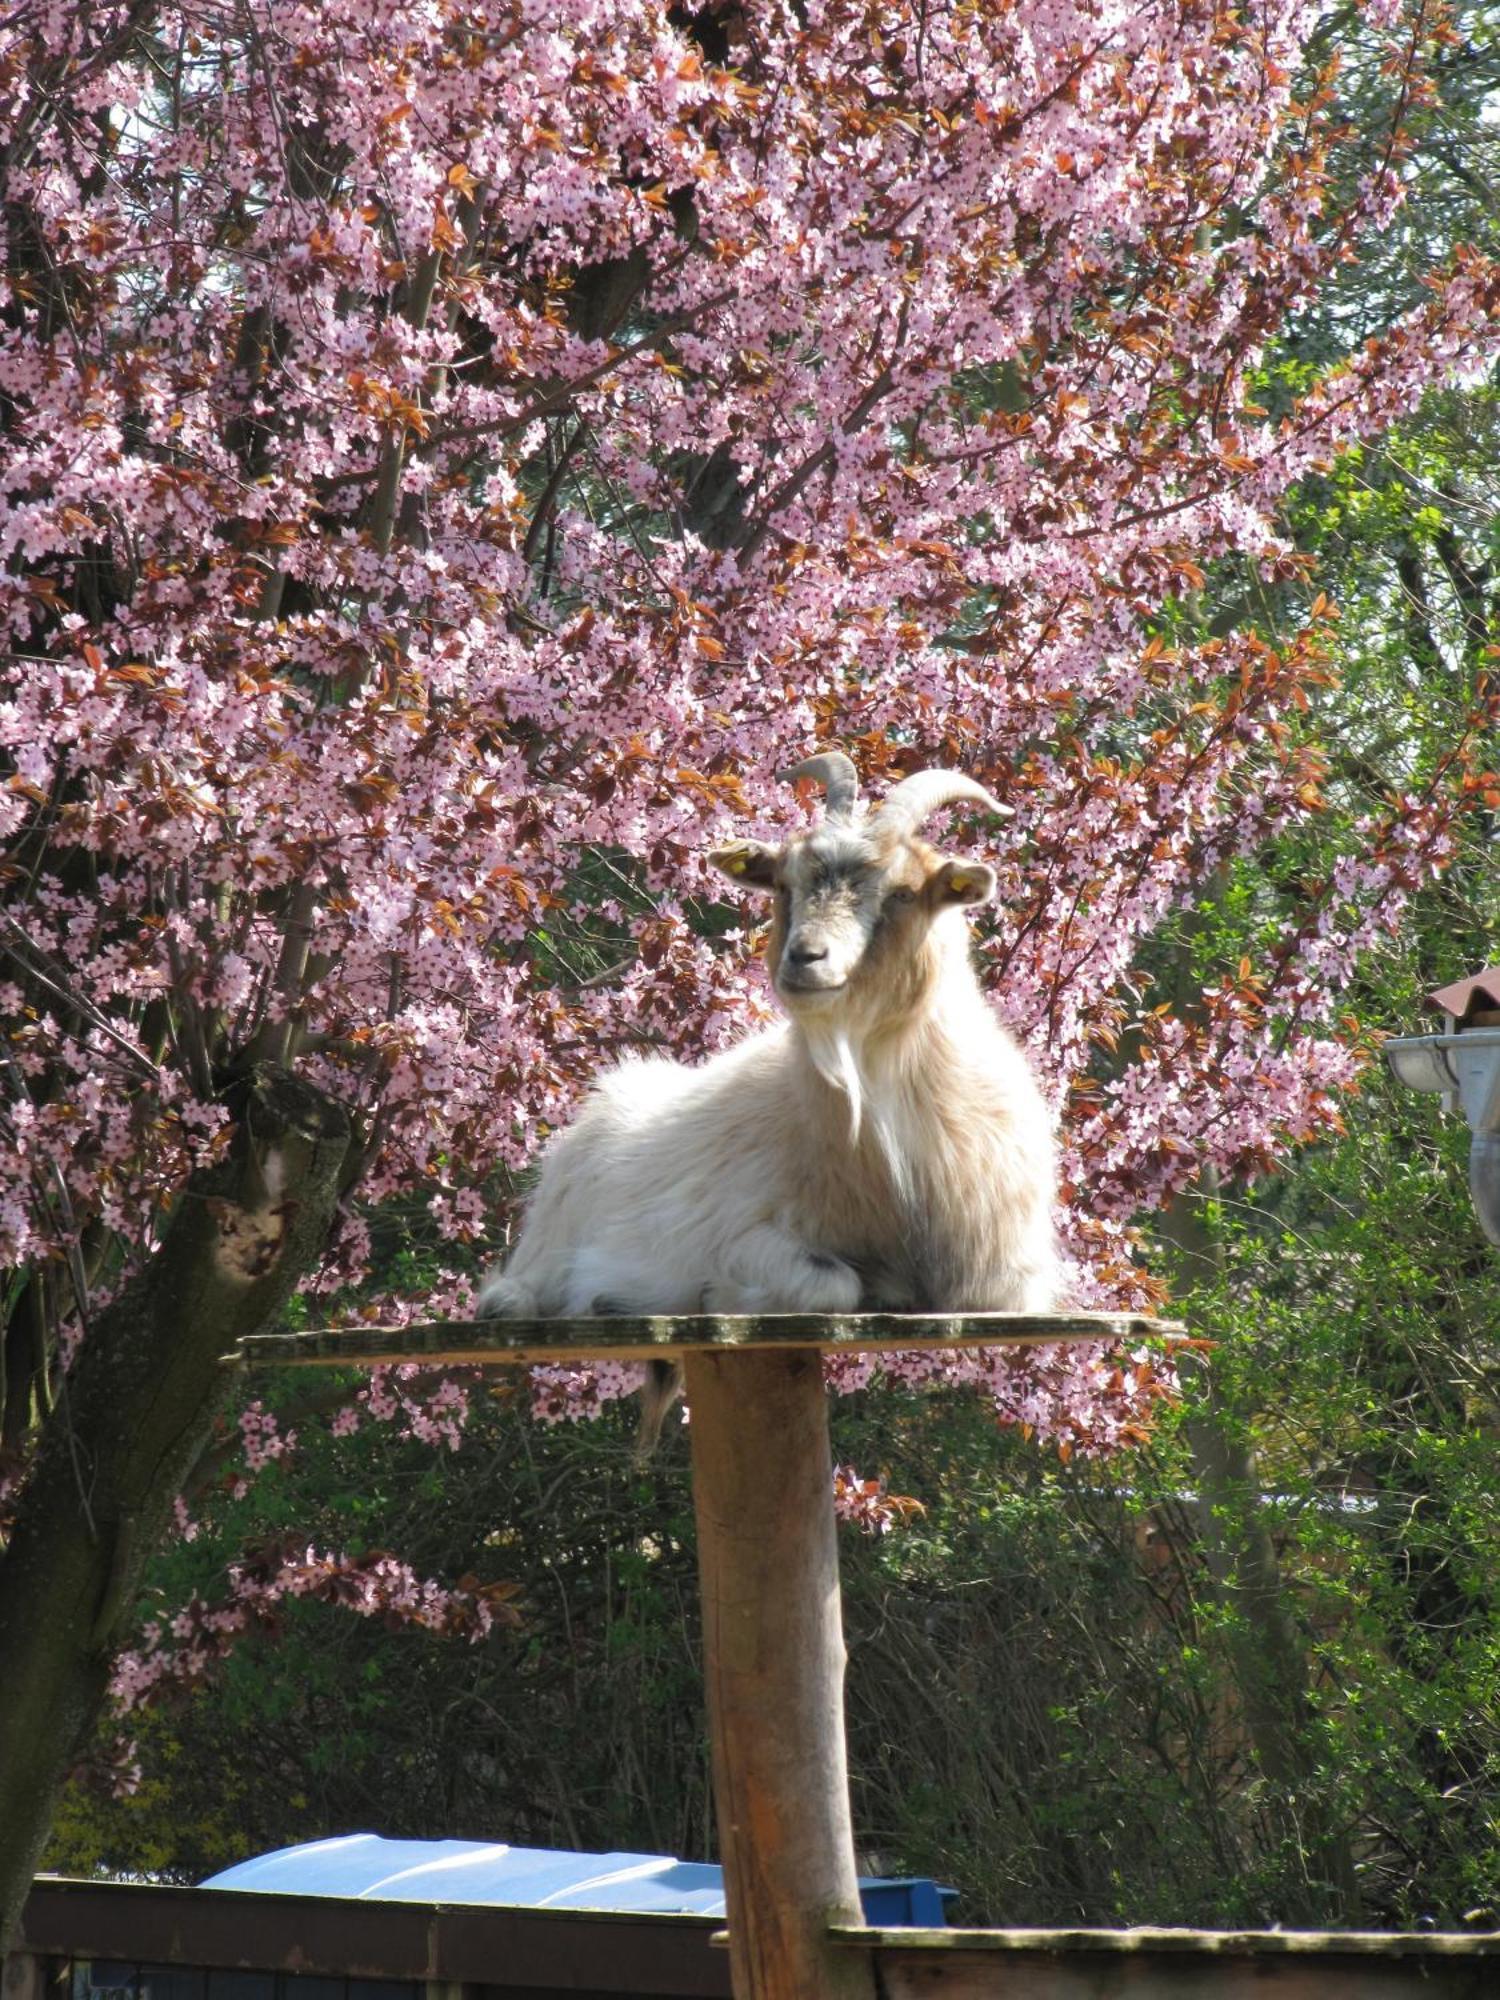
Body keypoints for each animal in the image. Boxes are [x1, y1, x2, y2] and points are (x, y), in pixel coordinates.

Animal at [478, 756, 1056, 1448]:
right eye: (784, 883)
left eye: (903, 892)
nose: (805, 958)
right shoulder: (745, 1234)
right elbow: (832, 1283)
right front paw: (714, 1296)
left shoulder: (1009, 1279)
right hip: (556, 1223)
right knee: (519, 1286)